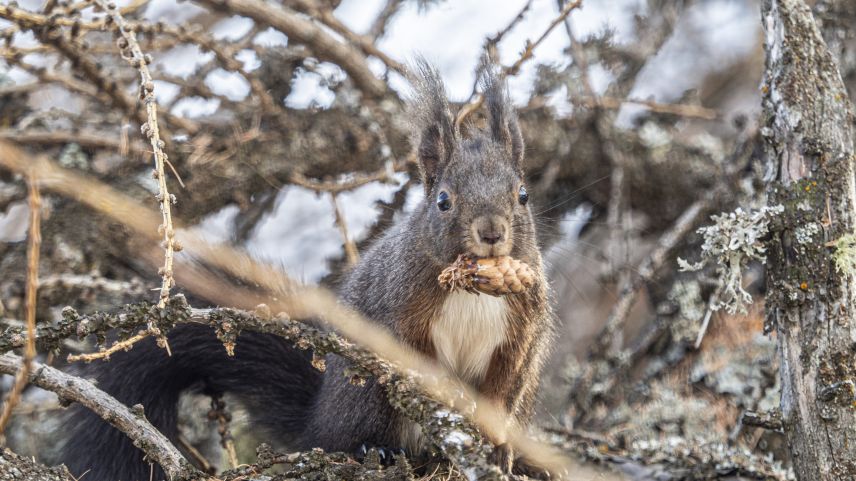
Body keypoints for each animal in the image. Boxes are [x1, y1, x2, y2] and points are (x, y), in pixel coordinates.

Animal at [60, 62, 556, 478]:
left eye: (523, 194)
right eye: (443, 201)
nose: (491, 232)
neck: (474, 289)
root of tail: (318, 422)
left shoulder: (522, 331)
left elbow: (504, 389)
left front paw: (498, 449)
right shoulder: (400, 306)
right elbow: (411, 355)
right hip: (363, 396)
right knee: (354, 437)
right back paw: (376, 449)